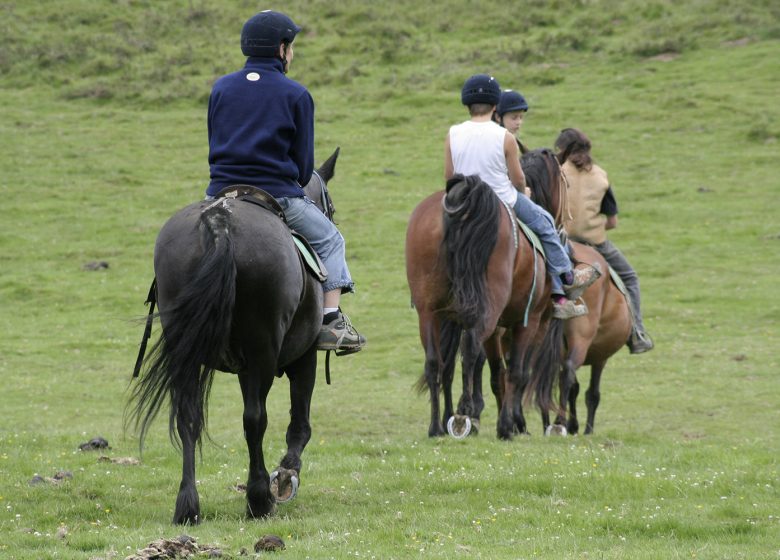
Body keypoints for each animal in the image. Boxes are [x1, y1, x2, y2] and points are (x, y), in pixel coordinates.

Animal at [129, 149, 342, 524]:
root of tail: (219, 220)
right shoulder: (304, 357)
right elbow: (299, 424)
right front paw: (285, 476)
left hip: (187, 350)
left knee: (188, 417)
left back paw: (188, 505)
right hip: (262, 350)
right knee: (255, 419)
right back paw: (258, 499)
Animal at [406, 173, 564, 440]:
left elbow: (494, 372)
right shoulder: (531, 321)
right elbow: (517, 372)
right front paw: (510, 425)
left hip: (429, 311)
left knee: (435, 362)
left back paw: (437, 427)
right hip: (491, 308)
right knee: (471, 349)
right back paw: (464, 412)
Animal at [516, 150, 632, 438]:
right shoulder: (600, 355)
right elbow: (590, 392)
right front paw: (582, 426)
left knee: (534, 374)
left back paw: (542, 422)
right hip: (581, 336)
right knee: (567, 374)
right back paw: (559, 423)